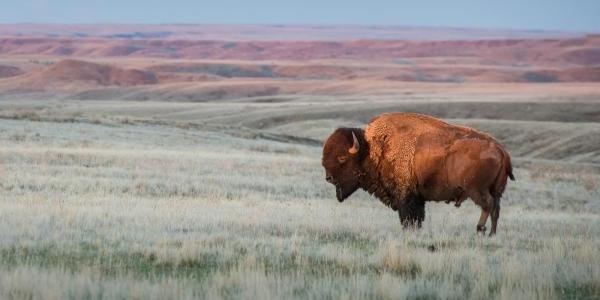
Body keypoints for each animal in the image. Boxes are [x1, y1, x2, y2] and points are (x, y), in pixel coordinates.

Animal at [322, 111, 512, 236]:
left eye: (342, 157)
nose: (328, 177)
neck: (372, 150)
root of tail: (501, 150)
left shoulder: (406, 196)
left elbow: (408, 218)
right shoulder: (417, 198)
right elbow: (417, 218)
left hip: (477, 190)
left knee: (488, 205)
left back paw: (480, 230)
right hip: (496, 191)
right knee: (496, 209)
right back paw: (492, 234)